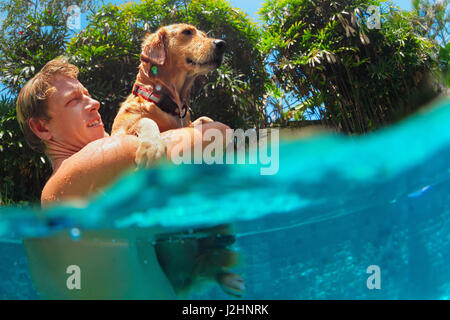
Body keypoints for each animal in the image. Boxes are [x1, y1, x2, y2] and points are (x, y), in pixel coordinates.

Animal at [112, 24, 246, 298]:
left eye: (204, 34)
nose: (222, 43)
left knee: (212, 264)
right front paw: (152, 147)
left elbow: (205, 119)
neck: (167, 103)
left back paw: (229, 277)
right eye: (187, 32)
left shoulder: (191, 120)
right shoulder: (117, 134)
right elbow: (145, 121)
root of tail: (183, 281)